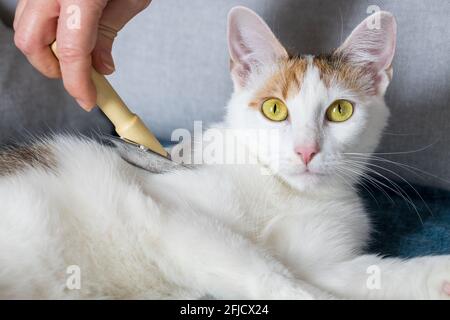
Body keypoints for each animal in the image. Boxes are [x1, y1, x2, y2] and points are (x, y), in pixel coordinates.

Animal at [0, 6, 448, 298]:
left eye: (340, 111)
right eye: (274, 109)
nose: (306, 151)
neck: (281, 192)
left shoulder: (323, 264)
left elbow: (369, 276)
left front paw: (439, 275)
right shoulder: (166, 210)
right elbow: (268, 270)